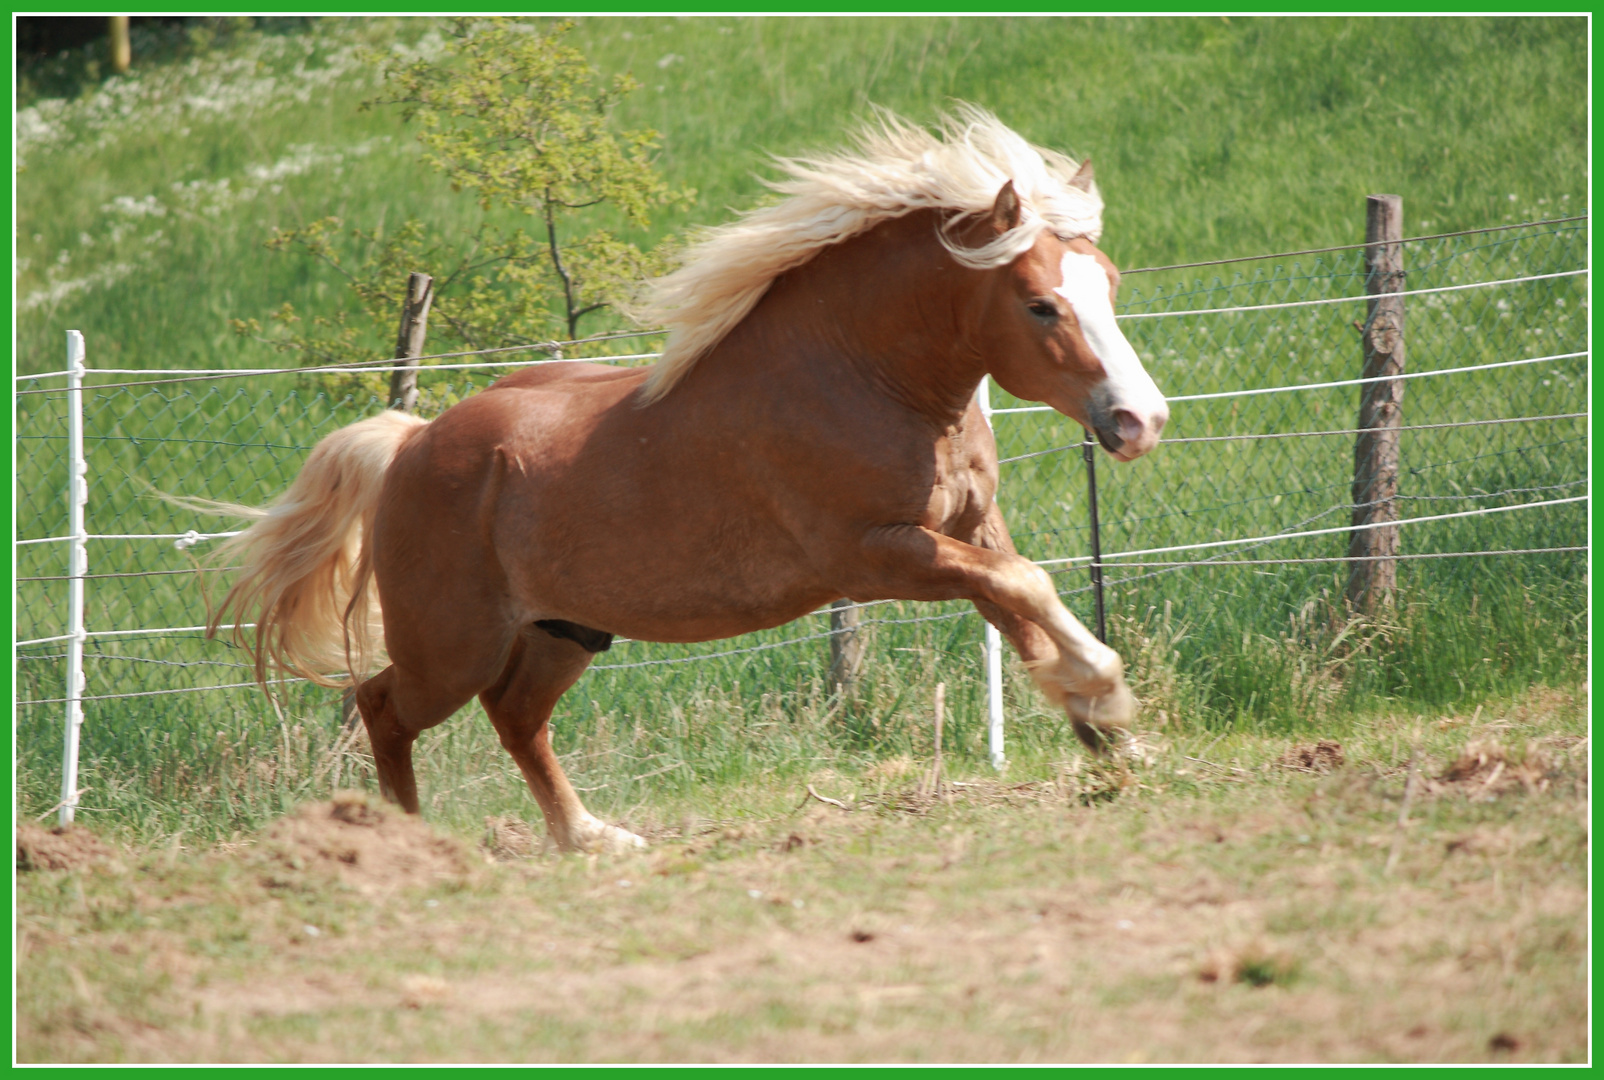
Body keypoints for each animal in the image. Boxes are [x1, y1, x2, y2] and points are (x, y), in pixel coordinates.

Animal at [210, 107, 1167, 853]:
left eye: (1112, 282)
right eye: (1040, 303)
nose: (1140, 420)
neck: (859, 375)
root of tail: (410, 445)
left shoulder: (966, 529)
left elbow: (1019, 603)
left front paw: (1102, 727)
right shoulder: (874, 556)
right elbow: (1025, 587)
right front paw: (1109, 698)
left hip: (565, 631)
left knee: (516, 716)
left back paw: (592, 838)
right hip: (453, 644)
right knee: (384, 706)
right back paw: (412, 843)